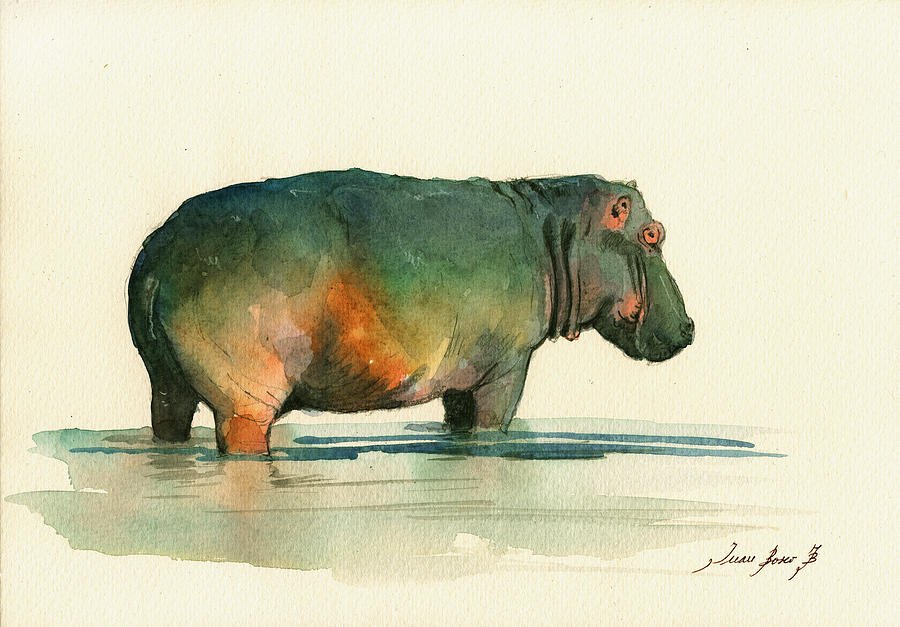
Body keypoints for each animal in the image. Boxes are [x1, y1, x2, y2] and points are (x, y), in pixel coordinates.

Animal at [127, 169, 693, 454]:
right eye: (653, 234)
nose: (689, 327)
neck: (557, 226)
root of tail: (159, 252)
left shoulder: (465, 377)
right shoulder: (506, 369)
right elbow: (494, 424)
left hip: (166, 380)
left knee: (169, 417)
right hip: (245, 395)